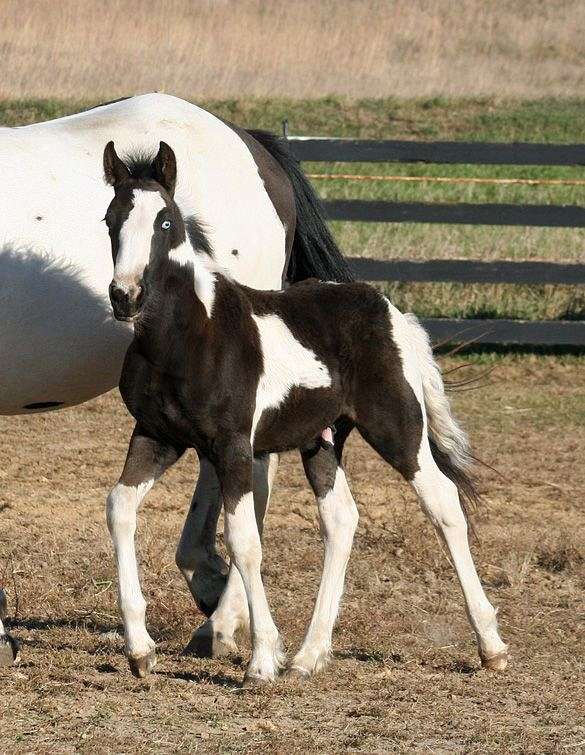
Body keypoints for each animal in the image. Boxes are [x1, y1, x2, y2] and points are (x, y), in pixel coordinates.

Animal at [102, 140, 508, 684]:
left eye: (164, 221)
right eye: (110, 218)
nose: (126, 297)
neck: (186, 337)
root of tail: (389, 310)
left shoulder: (233, 447)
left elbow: (244, 541)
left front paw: (259, 661)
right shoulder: (155, 436)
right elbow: (120, 508)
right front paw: (140, 650)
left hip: (397, 427)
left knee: (443, 503)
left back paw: (491, 646)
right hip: (323, 439)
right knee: (341, 519)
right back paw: (308, 657)